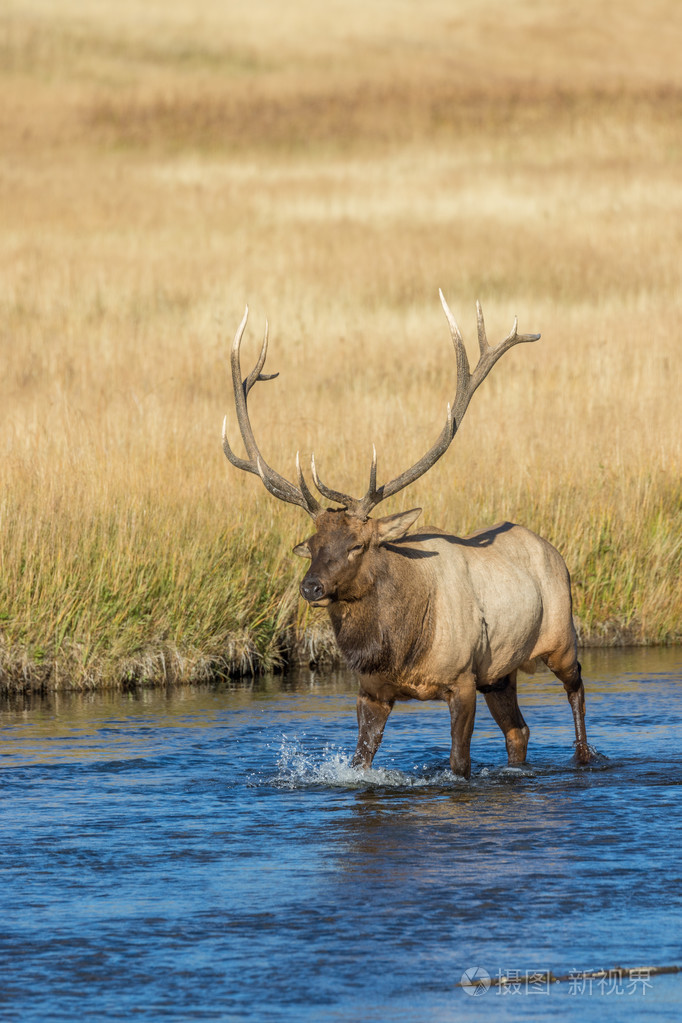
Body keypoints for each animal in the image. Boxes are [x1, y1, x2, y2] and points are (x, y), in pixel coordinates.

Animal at [221, 294, 588, 773]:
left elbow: (459, 762)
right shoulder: (372, 690)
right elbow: (360, 760)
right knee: (519, 731)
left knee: (576, 685)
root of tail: (550, 549)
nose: (311, 587)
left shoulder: (462, 679)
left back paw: (584, 754)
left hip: (560, 636)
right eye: (313, 545)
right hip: (500, 672)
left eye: (357, 545)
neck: (400, 647)